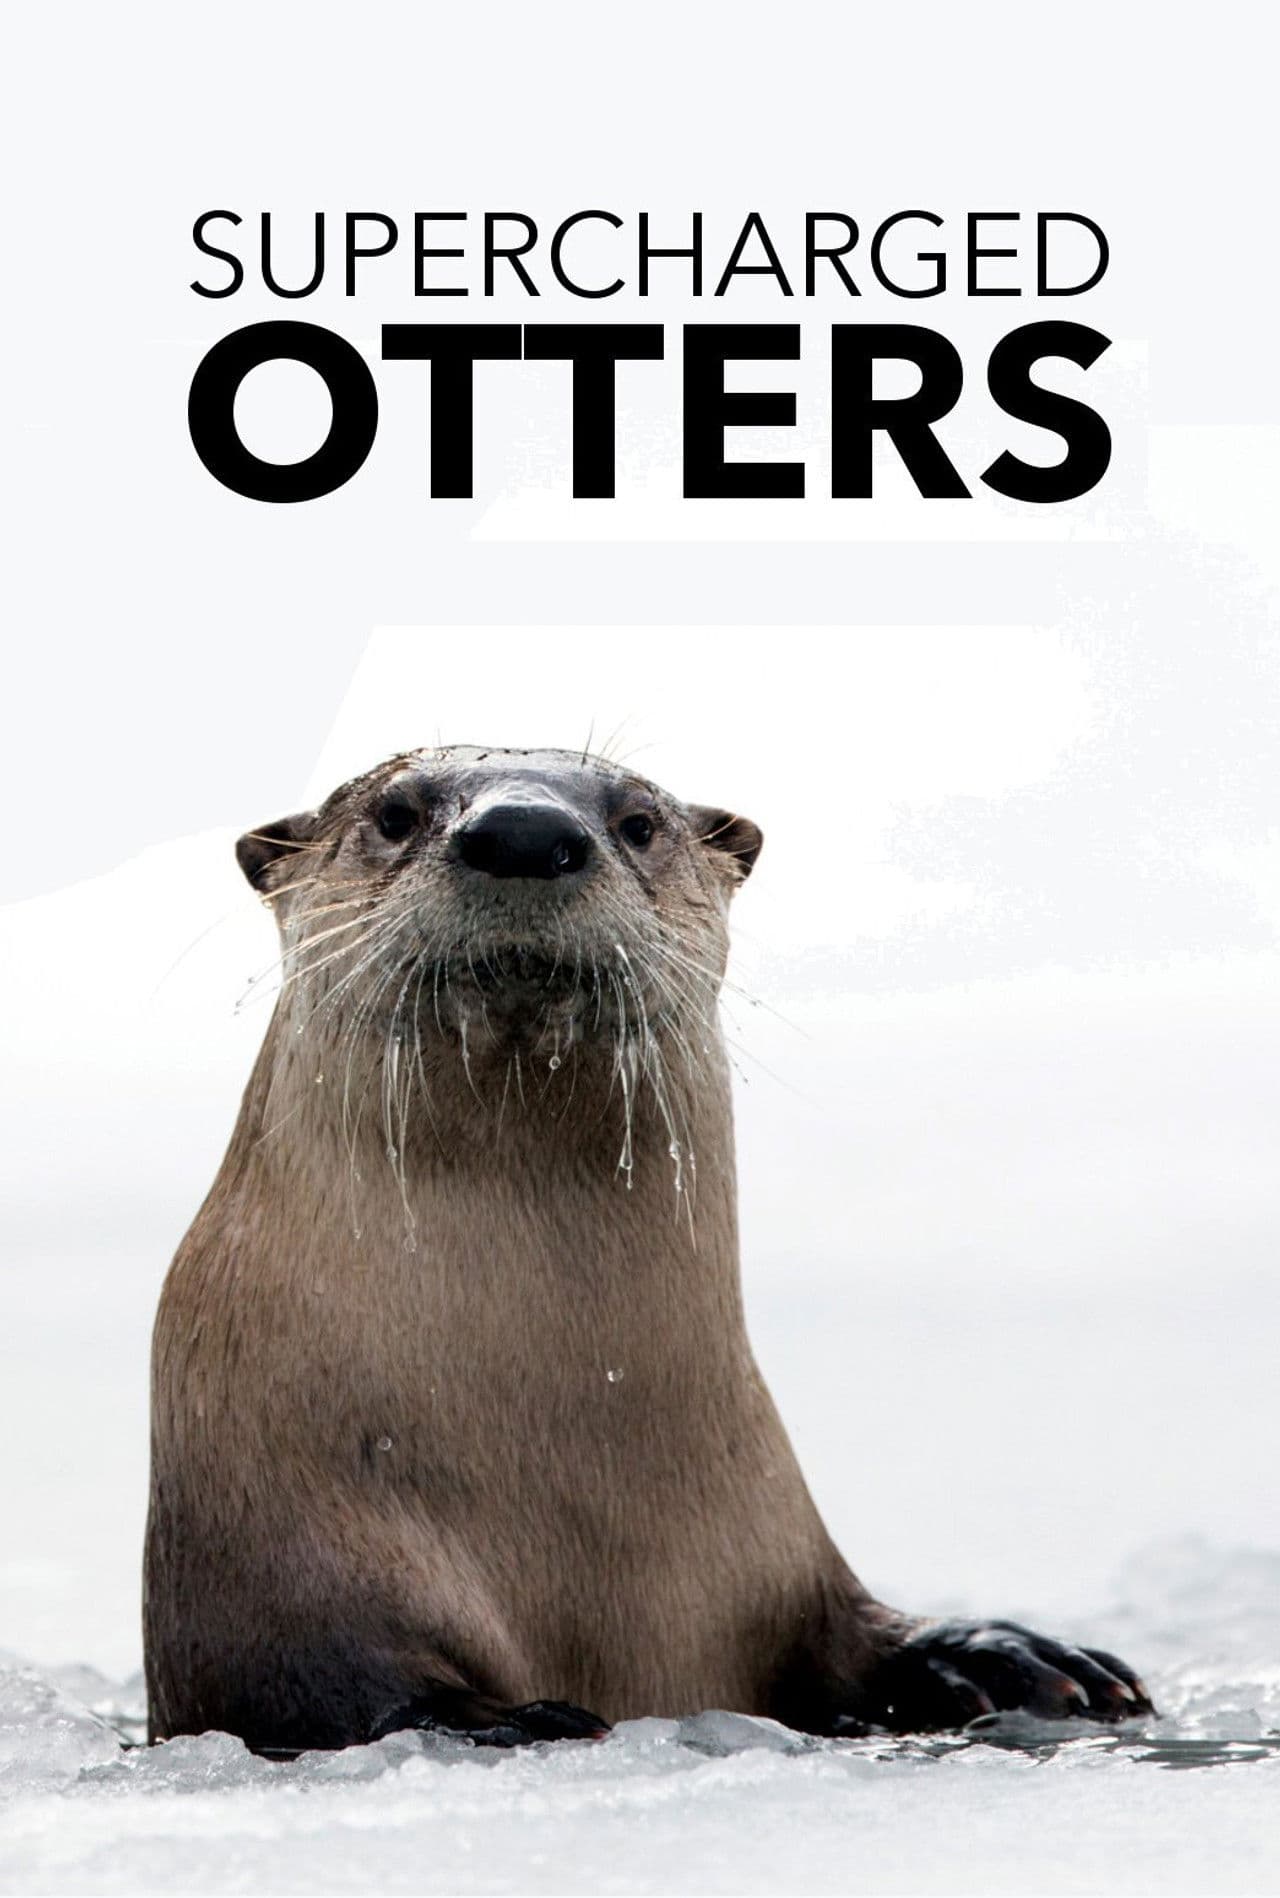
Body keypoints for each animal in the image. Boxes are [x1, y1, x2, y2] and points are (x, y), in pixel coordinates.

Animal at [145, 745, 1152, 1750]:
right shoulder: (285, 1607)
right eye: (394, 815)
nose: (523, 831)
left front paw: (1009, 1657)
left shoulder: (783, 1563)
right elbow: (358, 1700)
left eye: (638, 823)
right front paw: (529, 1723)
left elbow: (856, 1634)